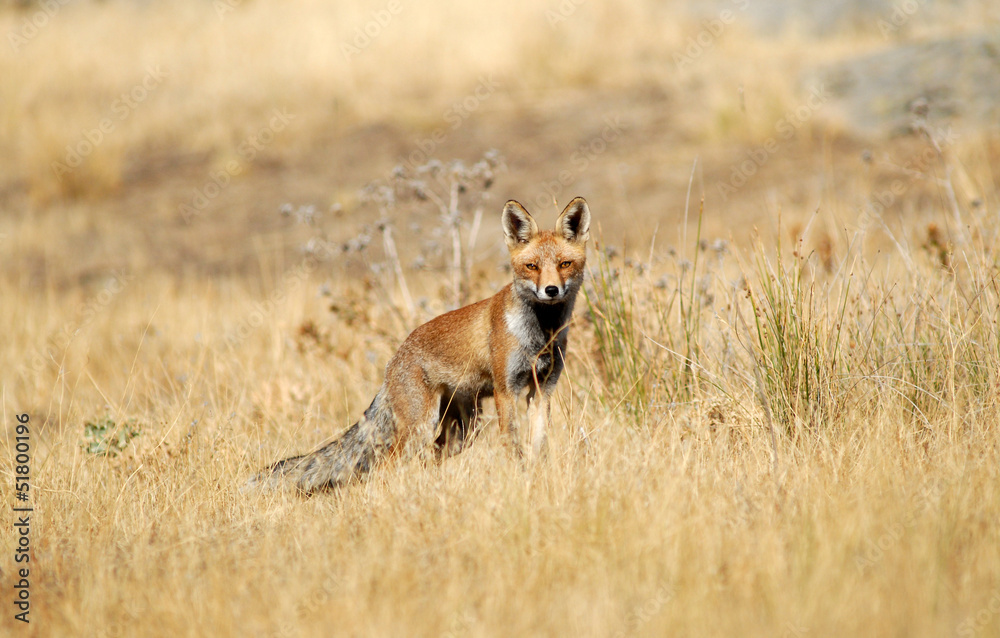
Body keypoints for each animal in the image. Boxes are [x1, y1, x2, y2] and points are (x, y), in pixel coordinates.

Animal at [250, 197, 591, 493]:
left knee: (429, 460)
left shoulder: (542, 389)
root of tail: (394, 360)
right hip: (421, 428)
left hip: (461, 432)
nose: (551, 290)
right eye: (532, 266)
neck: (541, 335)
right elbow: (513, 446)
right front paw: (518, 481)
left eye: (564, 264)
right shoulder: (506, 390)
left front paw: (539, 478)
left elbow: (539, 445)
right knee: (386, 467)